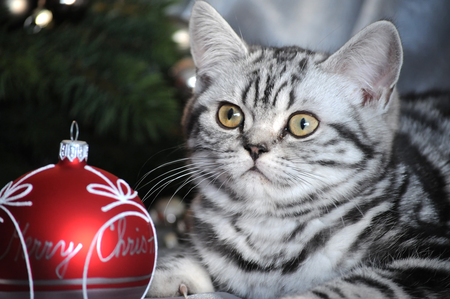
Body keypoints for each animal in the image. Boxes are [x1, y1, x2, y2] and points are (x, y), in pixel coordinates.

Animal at [148, 1, 450, 298]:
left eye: (302, 124)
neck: (269, 231)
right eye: (229, 115)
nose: (255, 147)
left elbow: (353, 285)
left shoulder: (430, 255)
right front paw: (166, 273)